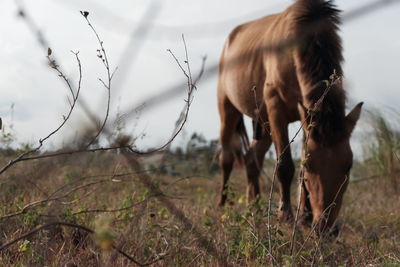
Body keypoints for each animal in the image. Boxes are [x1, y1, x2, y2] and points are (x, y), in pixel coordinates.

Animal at [217, 0, 364, 234]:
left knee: (251, 158)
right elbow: (285, 166)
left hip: (264, 124)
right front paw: (285, 216)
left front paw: (303, 217)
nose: (326, 229)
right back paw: (222, 204)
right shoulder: (277, 109)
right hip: (228, 109)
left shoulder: (306, 117)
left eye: (349, 165)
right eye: (311, 165)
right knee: (227, 158)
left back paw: (254, 206)